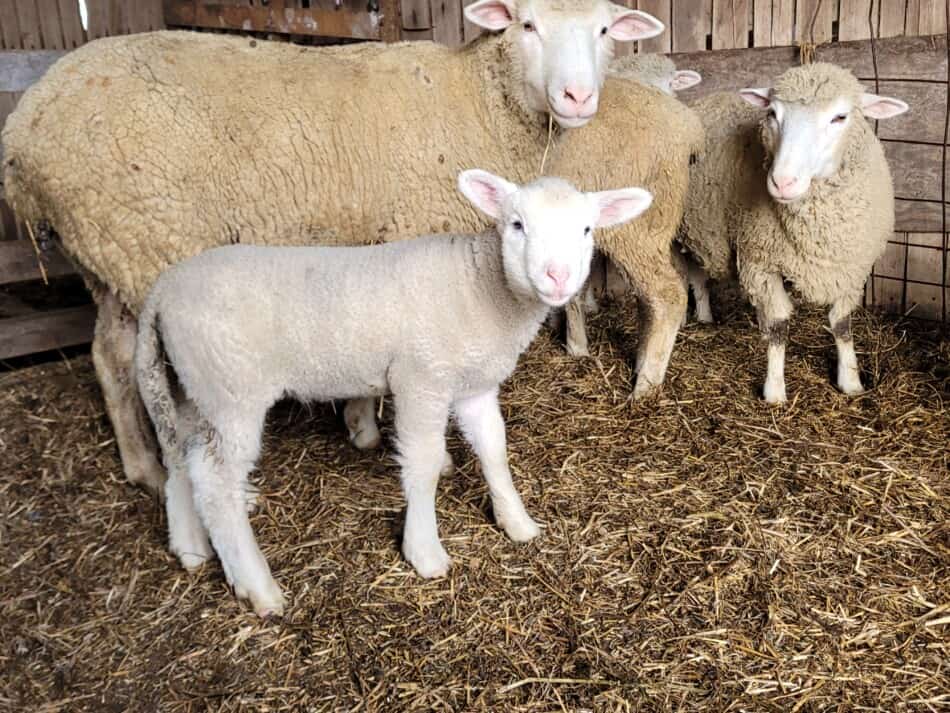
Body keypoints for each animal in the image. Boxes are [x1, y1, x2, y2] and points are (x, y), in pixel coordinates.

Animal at [0, 0, 700, 496]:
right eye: (527, 24)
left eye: (606, 30)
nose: (578, 97)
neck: (476, 98)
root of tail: (25, 128)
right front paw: (413, 447)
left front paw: (361, 425)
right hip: (149, 246)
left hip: (108, 254)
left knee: (108, 358)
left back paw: (141, 467)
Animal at [136, 170, 656, 616]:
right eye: (517, 224)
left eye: (586, 229)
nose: (557, 277)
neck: (480, 286)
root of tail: (161, 290)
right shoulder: (420, 377)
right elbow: (422, 463)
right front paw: (424, 552)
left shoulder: (474, 385)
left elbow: (494, 448)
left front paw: (517, 522)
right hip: (232, 389)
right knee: (216, 482)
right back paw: (257, 585)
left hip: (193, 388)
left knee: (183, 458)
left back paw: (191, 546)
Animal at [680, 64, 912, 404]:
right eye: (773, 114)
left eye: (840, 117)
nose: (782, 182)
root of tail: (707, 99)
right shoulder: (760, 263)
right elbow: (778, 327)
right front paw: (775, 391)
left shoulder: (851, 270)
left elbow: (842, 325)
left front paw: (851, 381)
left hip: (701, 229)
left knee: (698, 274)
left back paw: (706, 316)